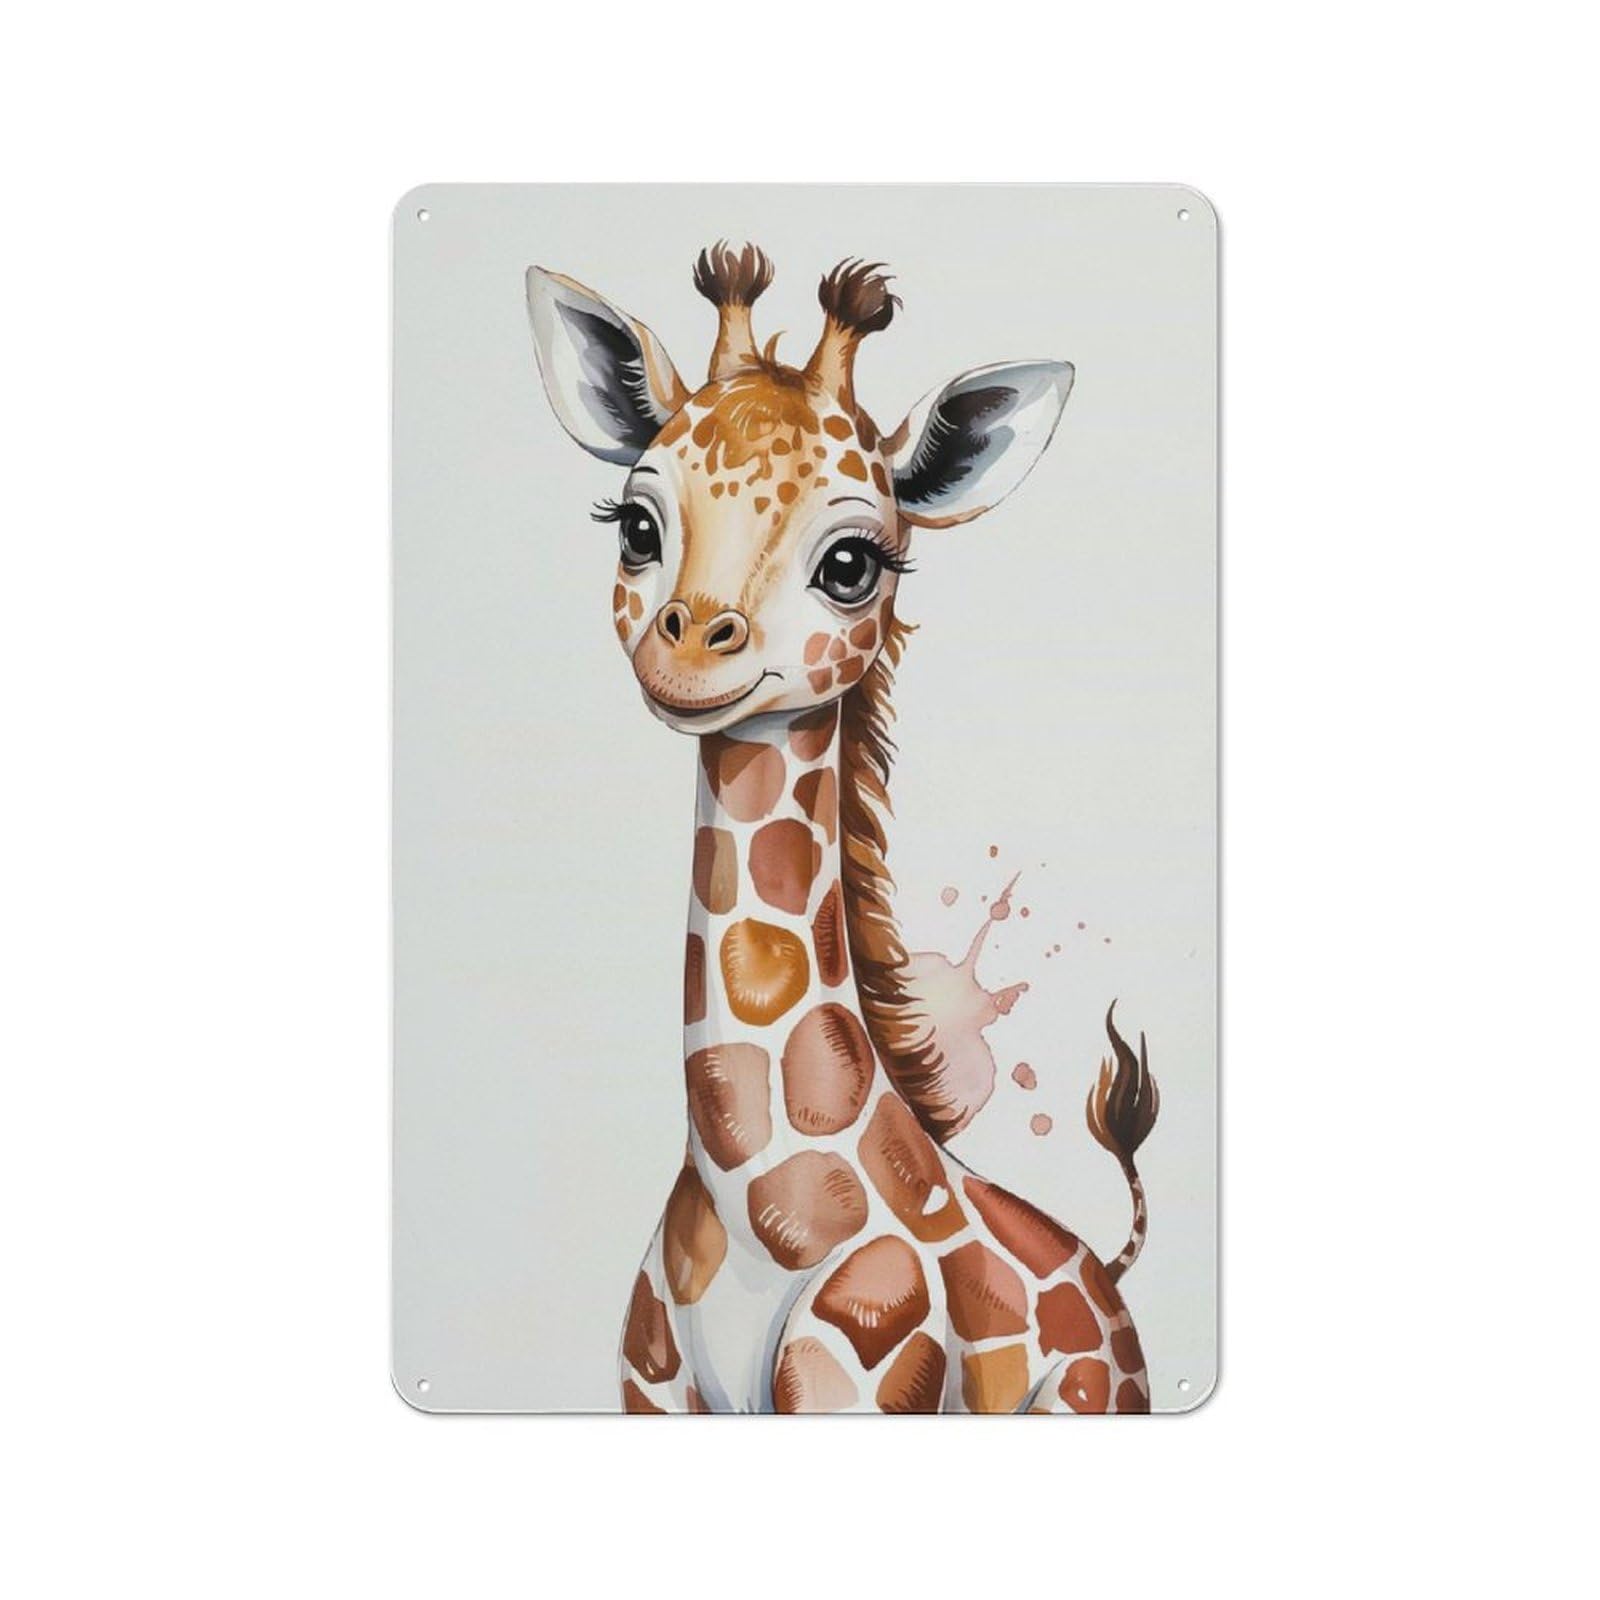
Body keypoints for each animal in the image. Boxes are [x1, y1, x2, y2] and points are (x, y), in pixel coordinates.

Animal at [526, 243, 1160, 1413]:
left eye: (853, 562)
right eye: (638, 527)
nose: (691, 650)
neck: (745, 1204)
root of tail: (1105, 1268)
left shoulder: (859, 1382)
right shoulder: (648, 1388)